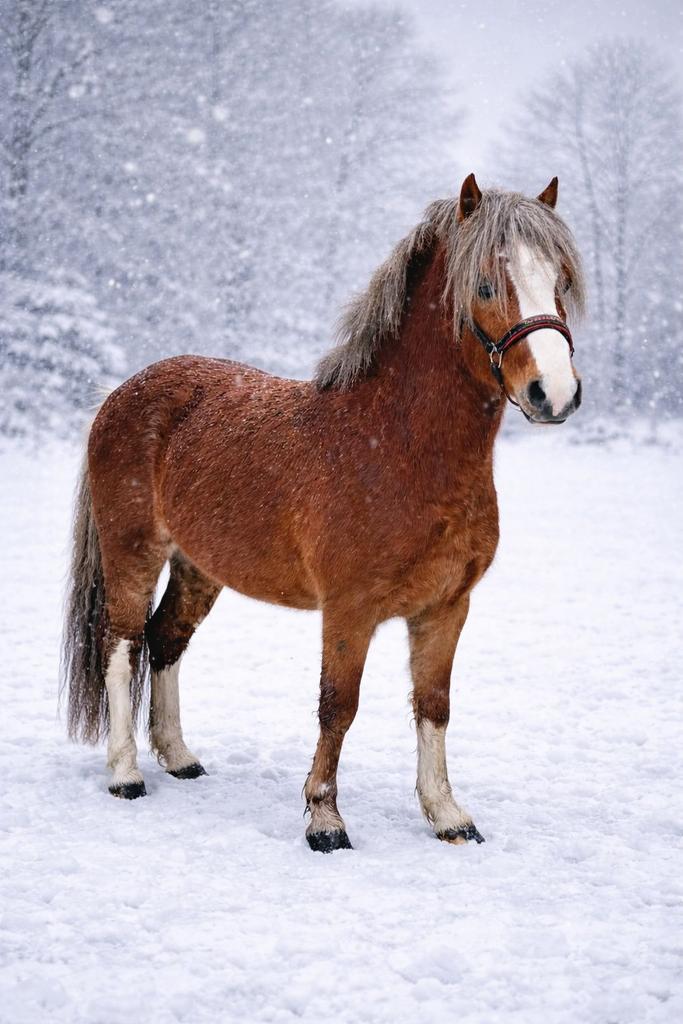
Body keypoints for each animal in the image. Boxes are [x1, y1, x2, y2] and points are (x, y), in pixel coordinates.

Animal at [61, 173, 585, 852]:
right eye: (487, 285)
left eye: (560, 282)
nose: (556, 393)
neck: (400, 447)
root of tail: (120, 393)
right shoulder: (348, 610)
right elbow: (339, 705)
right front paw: (325, 819)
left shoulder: (446, 608)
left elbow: (434, 705)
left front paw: (447, 814)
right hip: (133, 552)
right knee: (122, 644)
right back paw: (125, 773)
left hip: (199, 567)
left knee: (165, 639)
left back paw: (179, 757)